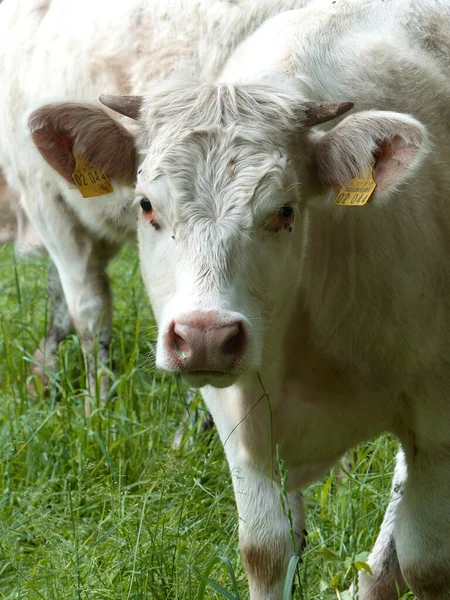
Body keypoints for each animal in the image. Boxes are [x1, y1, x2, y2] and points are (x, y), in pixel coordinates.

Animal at [0, 0, 310, 410]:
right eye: (144, 203)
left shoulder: (49, 203)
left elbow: (86, 309)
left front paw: (97, 402)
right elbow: (63, 301)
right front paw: (45, 376)